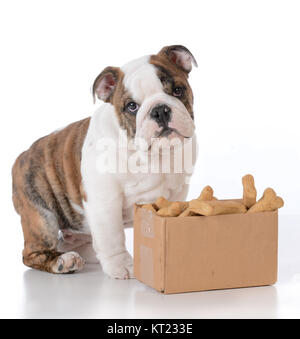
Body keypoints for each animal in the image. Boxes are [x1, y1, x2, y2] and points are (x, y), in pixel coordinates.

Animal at [11, 45, 198, 278]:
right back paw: (63, 261)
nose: (159, 110)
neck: (152, 155)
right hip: (41, 215)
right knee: (32, 253)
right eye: (132, 106)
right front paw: (122, 266)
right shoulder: (104, 199)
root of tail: (22, 156)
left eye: (178, 90)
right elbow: (112, 236)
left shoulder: (177, 192)